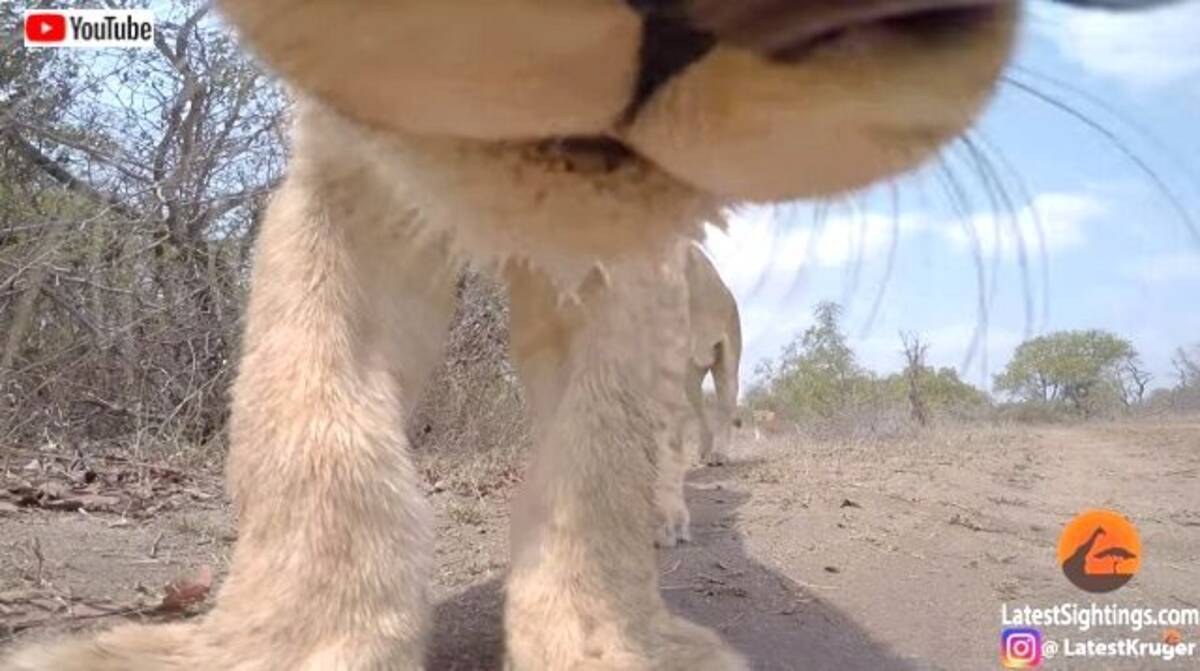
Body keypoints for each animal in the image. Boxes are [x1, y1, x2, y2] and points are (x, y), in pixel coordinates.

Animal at [7, 1, 1142, 671]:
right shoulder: (347, 185)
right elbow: (308, 417)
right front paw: (277, 643)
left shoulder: (624, 258)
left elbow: (598, 457)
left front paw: (609, 642)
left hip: (716, 359)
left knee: (684, 432)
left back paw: (673, 514)